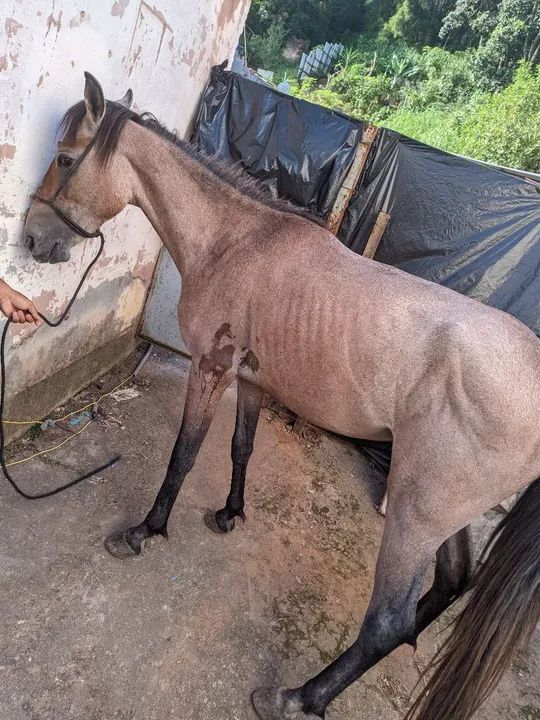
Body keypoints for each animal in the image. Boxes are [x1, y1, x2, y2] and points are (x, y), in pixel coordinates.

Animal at [24, 72, 540, 720]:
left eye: (67, 158)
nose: (31, 236)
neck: (237, 241)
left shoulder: (210, 371)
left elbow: (184, 454)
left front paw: (146, 532)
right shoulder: (250, 382)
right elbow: (240, 448)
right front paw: (229, 514)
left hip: (417, 513)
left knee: (387, 623)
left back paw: (296, 697)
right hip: (452, 516)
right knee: (446, 586)